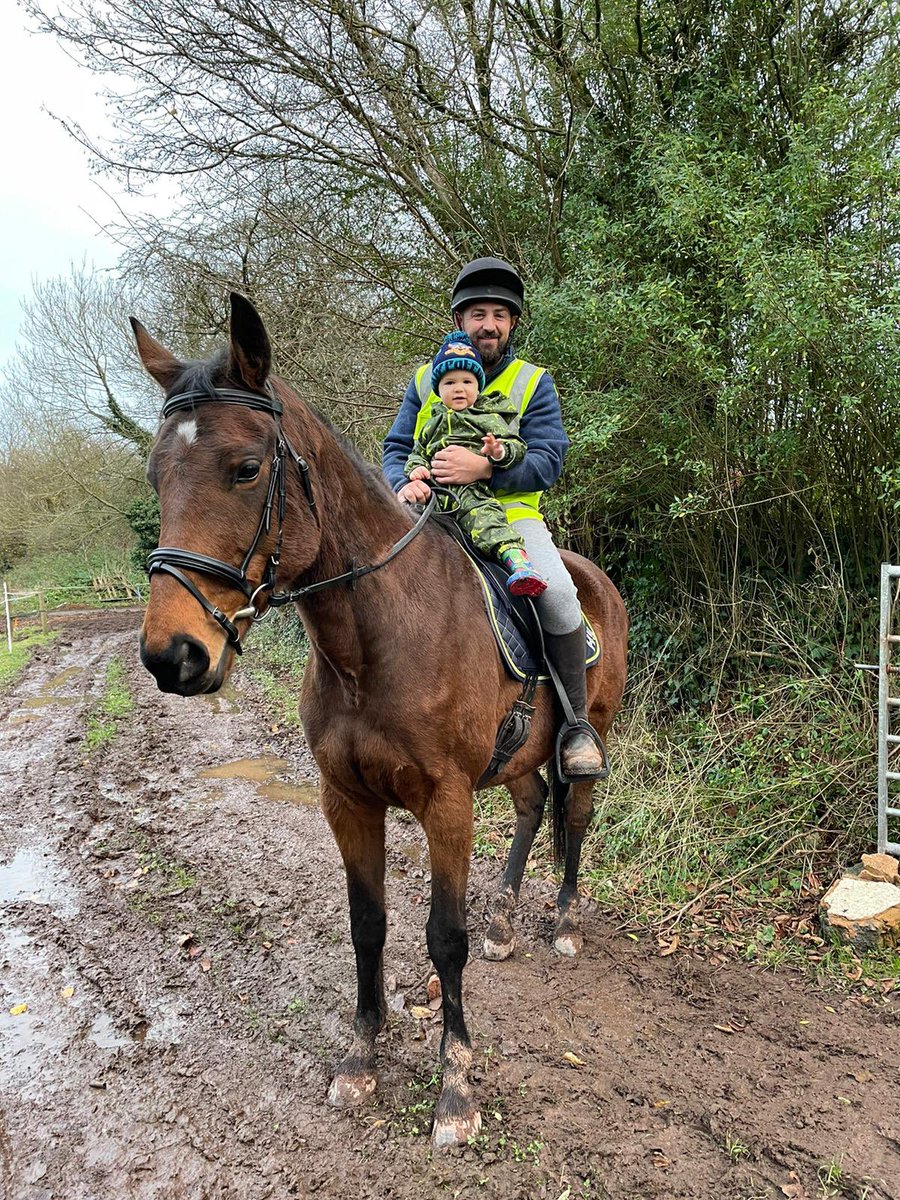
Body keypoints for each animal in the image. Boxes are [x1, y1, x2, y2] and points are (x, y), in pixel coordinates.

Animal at [134, 292, 627, 1149]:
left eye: (246, 468)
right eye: (157, 475)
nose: (173, 657)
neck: (375, 639)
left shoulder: (446, 803)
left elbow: (443, 935)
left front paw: (455, 1088)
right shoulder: (347, 800)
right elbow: (368, 924)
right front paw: (361, 1056)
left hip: (584, 735)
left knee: (576, 813)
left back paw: (561, 921)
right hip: (516, 756)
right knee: (534, 807)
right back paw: (505, 924)